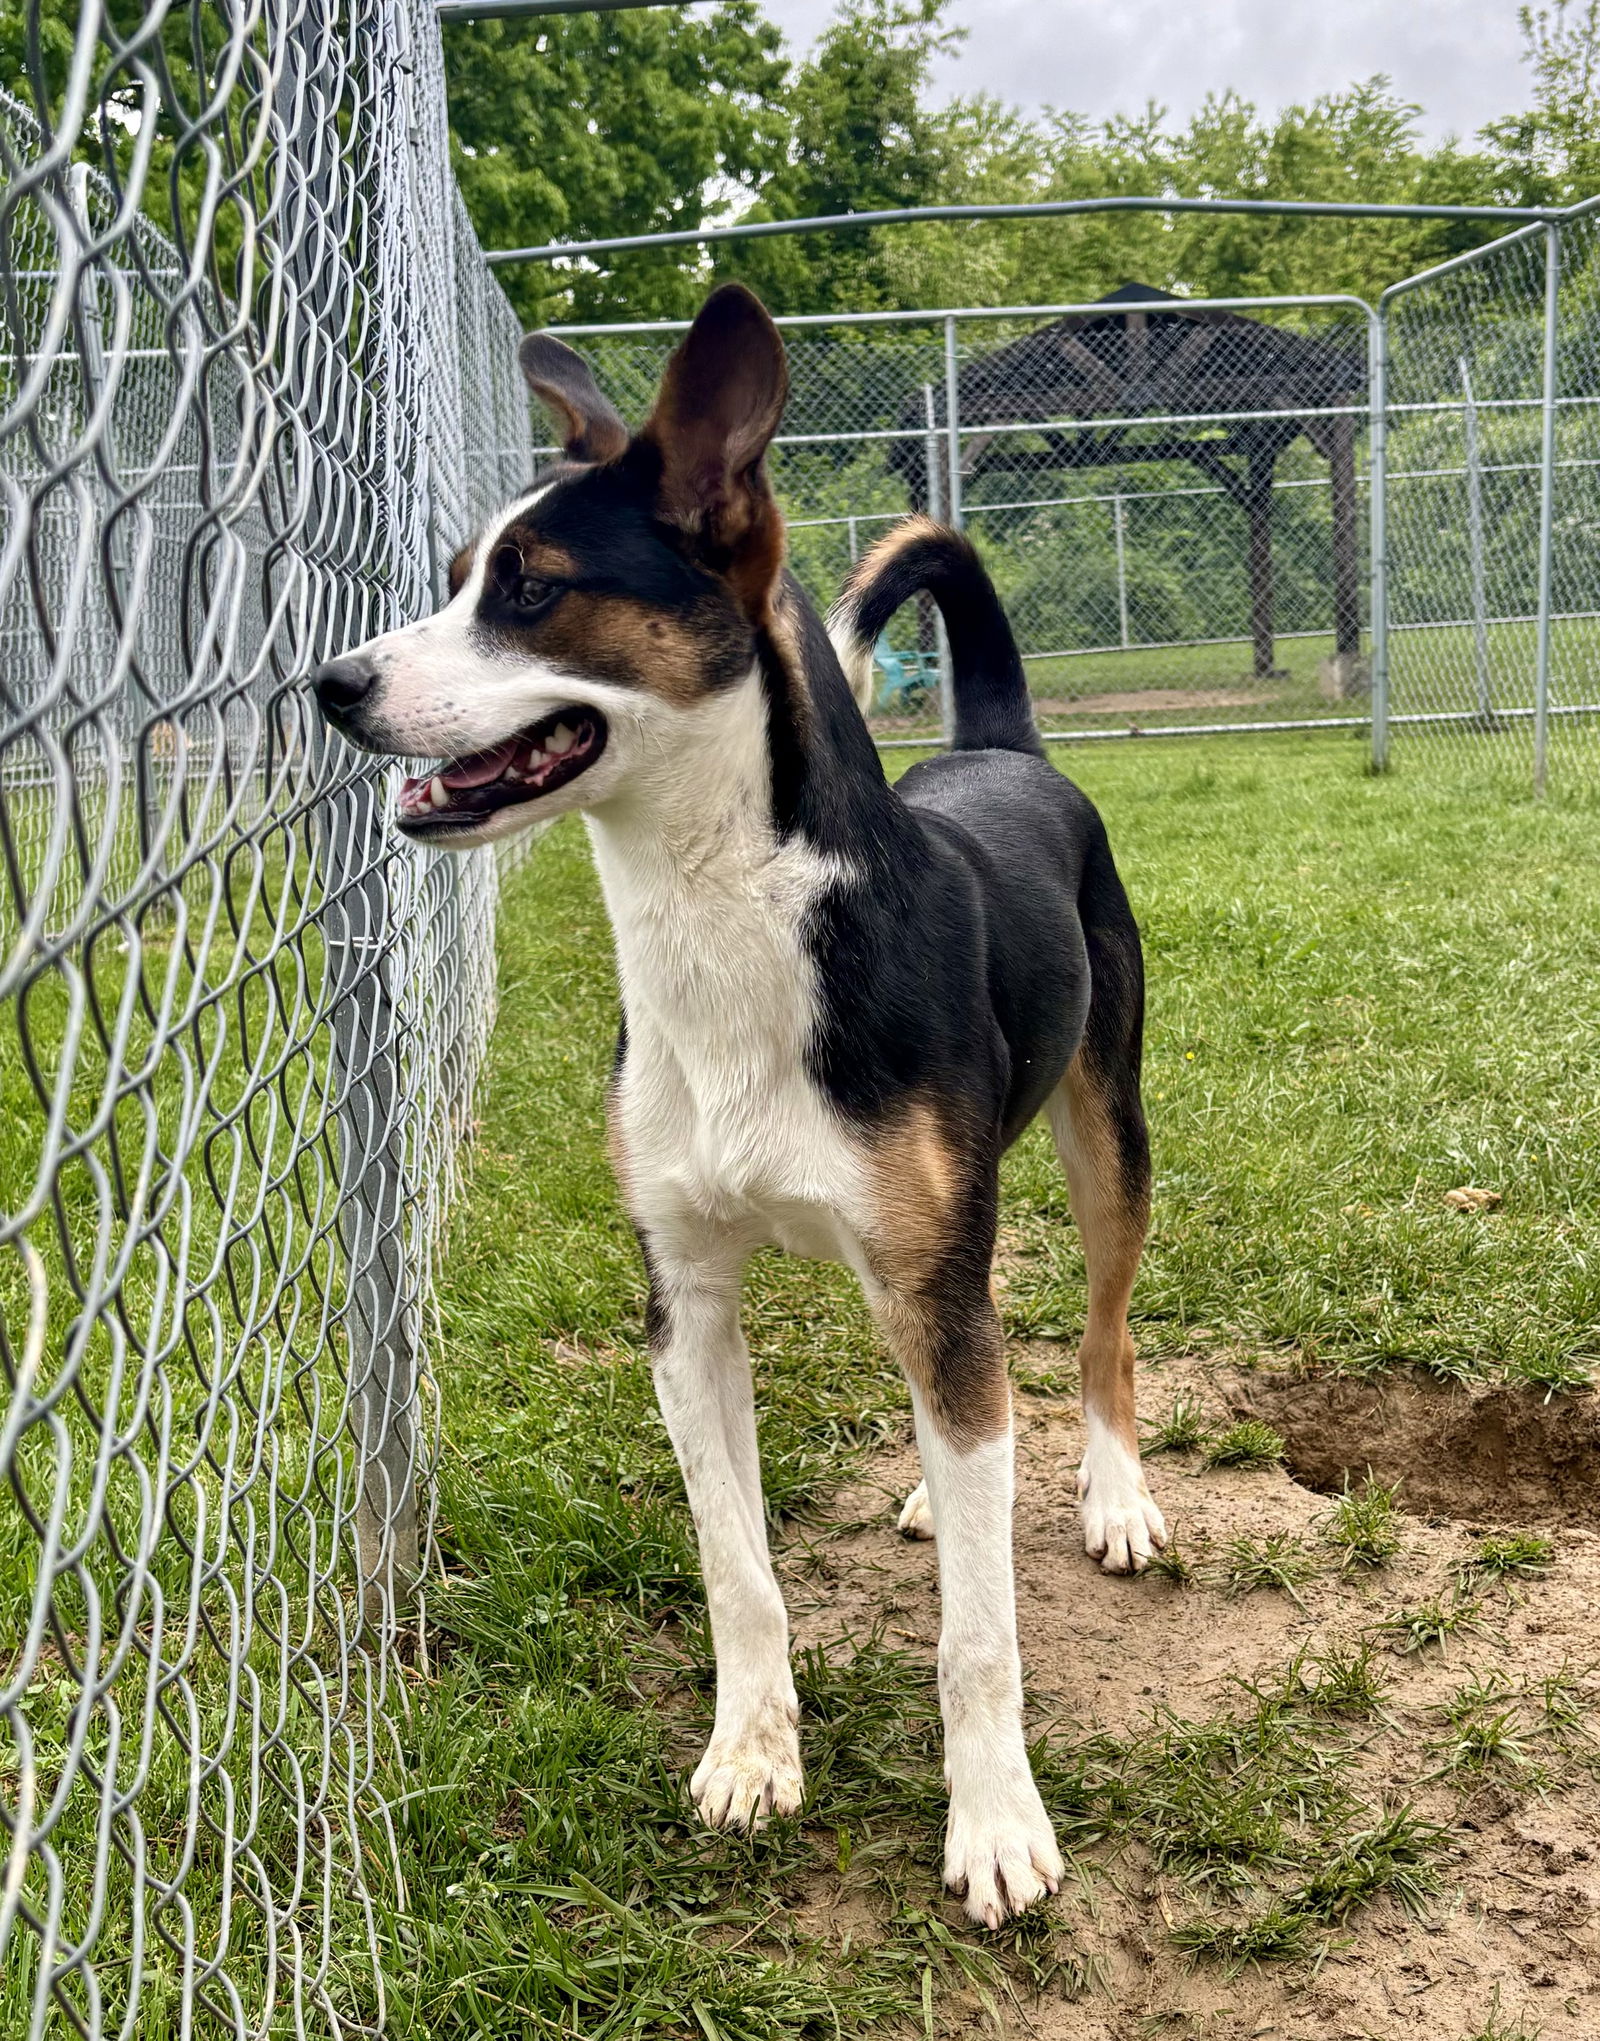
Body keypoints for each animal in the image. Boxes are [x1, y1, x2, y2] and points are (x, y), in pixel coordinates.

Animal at [310, 287, 1159, 1926]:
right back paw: (940, 1492)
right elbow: (738, 1570)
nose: (327, 685)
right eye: (452, 583)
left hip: (1106, 1137)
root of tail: (1005, 750)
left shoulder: (937, 1275)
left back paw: (1111, 1492)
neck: (723, 922)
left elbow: (978, 1636)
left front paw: (995, 1820)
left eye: (532, 589)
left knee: (1098, 1333)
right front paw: (754, 1754)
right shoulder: (684, 1303)